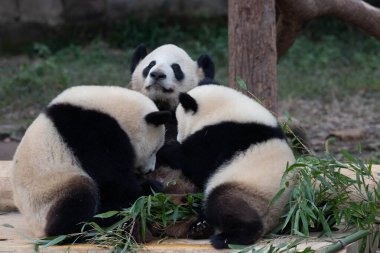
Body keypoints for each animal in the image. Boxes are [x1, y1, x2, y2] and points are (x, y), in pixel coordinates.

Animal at [11, 86, 170, 238]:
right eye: (154, 150)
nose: (150, 170)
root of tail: (36, 229)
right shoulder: (88, 130)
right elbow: (112, 178)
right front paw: (149, 189)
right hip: (48, 194)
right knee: (81, 197)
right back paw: (95, 225)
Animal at [159, 85, 296, 249]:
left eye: (180, 122)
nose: (179, 138)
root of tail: (277, 218)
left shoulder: (220, 136)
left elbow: (193, 162)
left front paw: (164, 149)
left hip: (250, 192)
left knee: (222, 202)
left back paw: (227, 238)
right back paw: (200, 227)